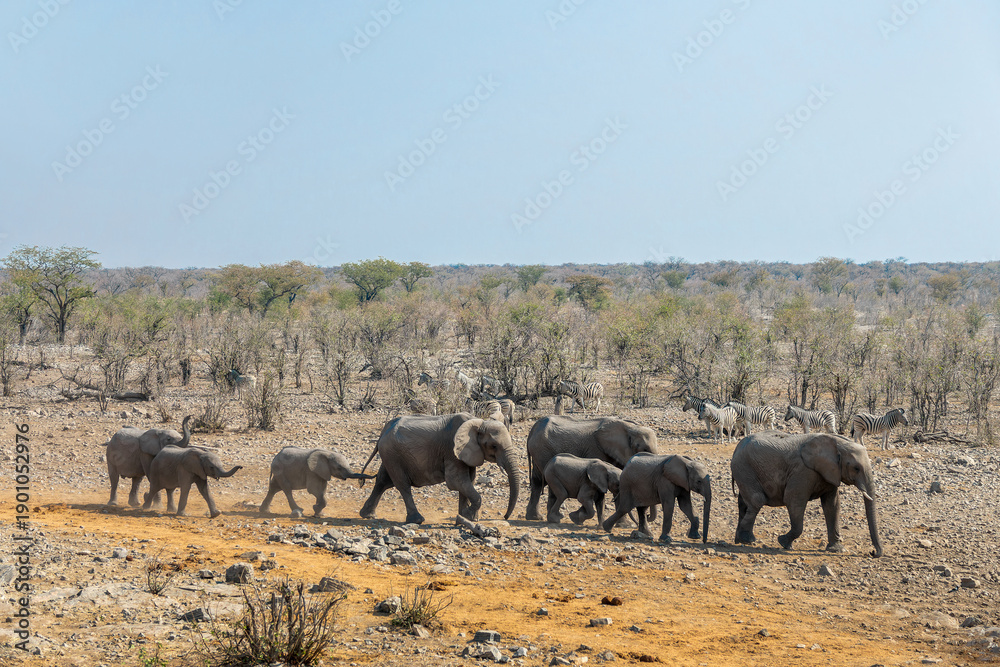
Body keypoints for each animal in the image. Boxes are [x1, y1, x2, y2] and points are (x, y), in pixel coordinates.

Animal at [358, 413, 520, 525]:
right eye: (494, 446)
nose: (505, 517)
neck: (478, 421)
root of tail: (385, 429)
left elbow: (468, 481)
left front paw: (464, 517)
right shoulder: (451, 451)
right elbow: (456, 481)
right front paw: (469, 516)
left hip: (390, 455)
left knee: (383, 481)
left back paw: (367, 515)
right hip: (393, 454)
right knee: (402, 485)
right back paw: (417, 520)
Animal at [525, 415, 659, 522]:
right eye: (642, 448)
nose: (648, 517)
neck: (629, 427)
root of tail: (533, 429)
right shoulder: (597, 450)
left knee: (537, 481)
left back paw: (535, 517)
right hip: (542, 451)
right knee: (545, 482)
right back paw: (549, 518)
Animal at [730, 431, 882, 557]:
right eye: (856, 468)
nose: (872, 553)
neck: (837, 442)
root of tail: (737, 447)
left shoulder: (831, 473)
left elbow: (832, 505)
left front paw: (837, 549)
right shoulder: (802, 472)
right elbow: (793, 500)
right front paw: (783, 542)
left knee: (744, 503)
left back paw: (739, 540)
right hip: (744, 468)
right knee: (757, 500)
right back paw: (748, 540)